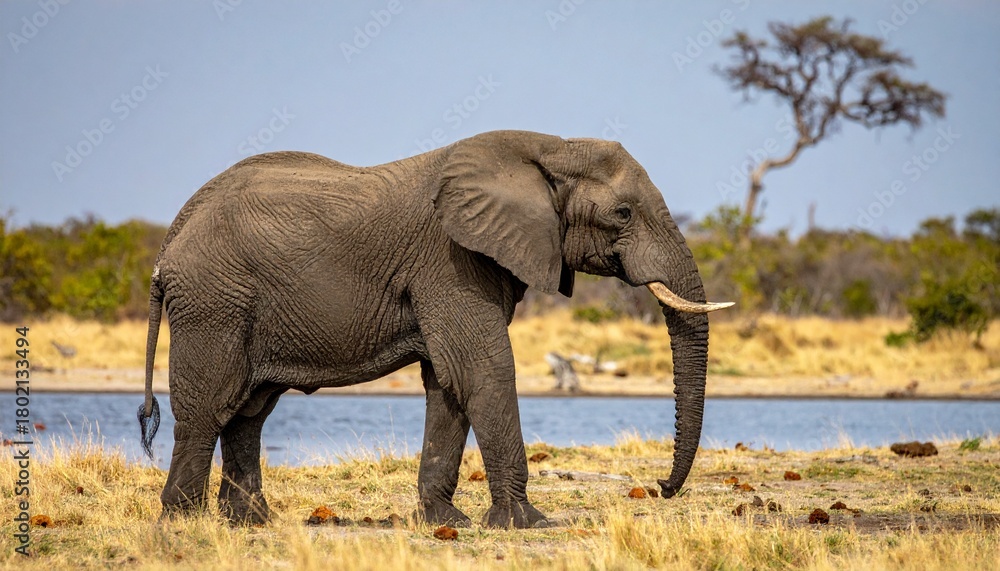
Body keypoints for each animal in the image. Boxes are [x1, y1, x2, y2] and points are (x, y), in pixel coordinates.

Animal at [137, 130, 732, 529]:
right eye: (624, 213)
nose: (659, 487)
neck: (548, 146)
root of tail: (169, 243)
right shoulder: (450, 261)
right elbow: (483, 370)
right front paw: (527, 522)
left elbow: (447, 382)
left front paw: (447, 523)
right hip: (214, 303)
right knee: (211, 406)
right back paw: (183, 520)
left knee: (249, 410)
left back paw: (251, 522)